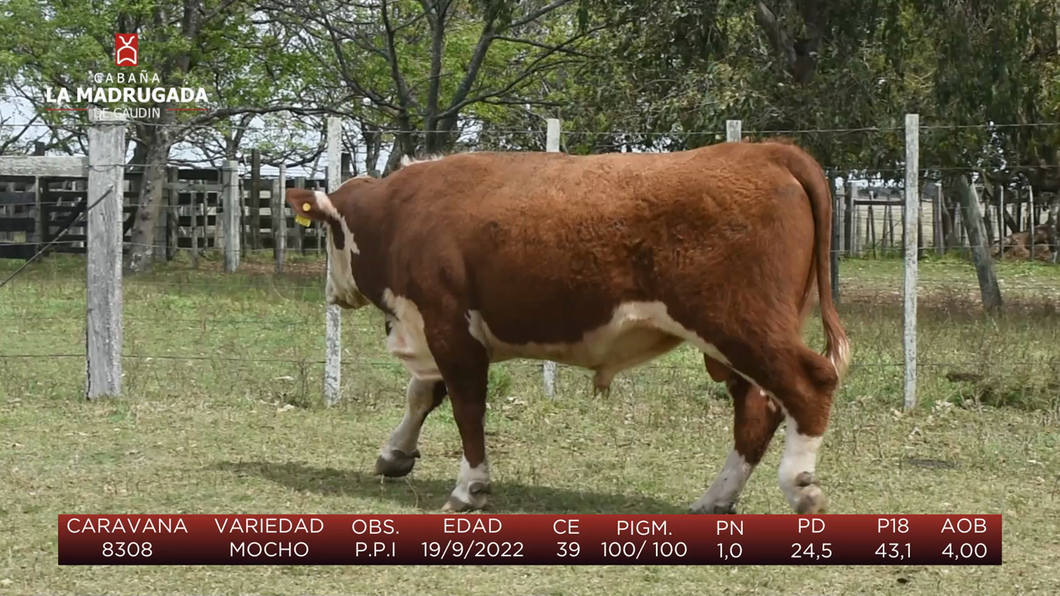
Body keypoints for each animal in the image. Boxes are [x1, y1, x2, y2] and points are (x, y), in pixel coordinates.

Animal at [286, 139, 847, 515]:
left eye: (329, 234)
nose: (335, 292)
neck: (402, 214)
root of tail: (765, 150)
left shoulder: (448, 326)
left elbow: (465, 406)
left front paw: (470, 487)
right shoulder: (437, 328)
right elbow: (422, 394)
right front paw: (395, 454)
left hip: (740, 324)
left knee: (809, 383)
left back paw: (800, 484)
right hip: (736, 340)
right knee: (757, 408)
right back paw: (715, 498)